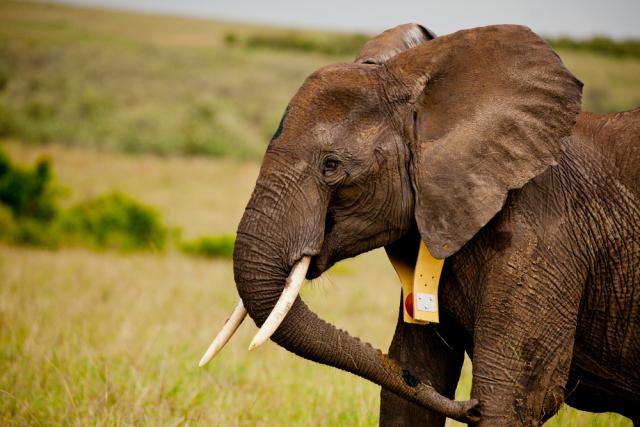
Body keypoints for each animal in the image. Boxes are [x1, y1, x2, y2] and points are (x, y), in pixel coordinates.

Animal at [200, 23, 640, 425]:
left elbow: (513, 400)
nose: (469, 406)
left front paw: (486, 403)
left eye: (331, 166)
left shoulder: (546, 236)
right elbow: (412, 385)